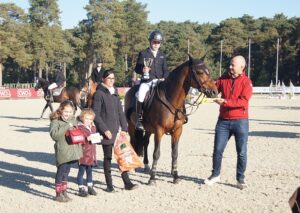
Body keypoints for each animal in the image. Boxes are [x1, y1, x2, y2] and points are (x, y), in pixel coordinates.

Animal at [124, 55, 218, 185]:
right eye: (200, 72)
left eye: (208, 71)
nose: (214, 92)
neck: (171, 99)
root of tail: (130, 90)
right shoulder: (159, 131)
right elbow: (156, 153)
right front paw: (152, 178)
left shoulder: (177, 131)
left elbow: (175, 153)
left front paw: (175, 176)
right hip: (132, 126)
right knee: (133, 142)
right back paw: (133, 169)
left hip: (148, 129)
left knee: (145, 143)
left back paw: (147, 167)